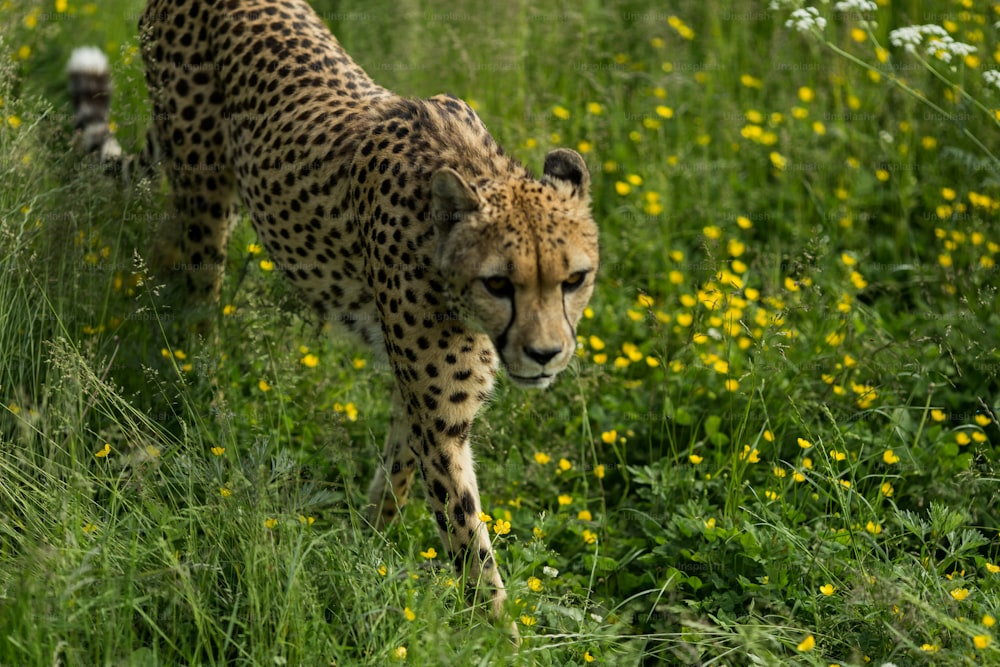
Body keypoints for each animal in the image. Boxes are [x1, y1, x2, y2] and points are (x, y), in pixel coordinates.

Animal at [72, 0, 600, 628]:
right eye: (499, 283)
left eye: (574, 279)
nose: (546, 355)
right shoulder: (439, 416)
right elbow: (469, 540)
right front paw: (498, 634)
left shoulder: (419, 399)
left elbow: (397, 477)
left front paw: (366, 548)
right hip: (207, 194)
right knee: (197, 298)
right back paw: (199, 391)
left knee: (163, 242)